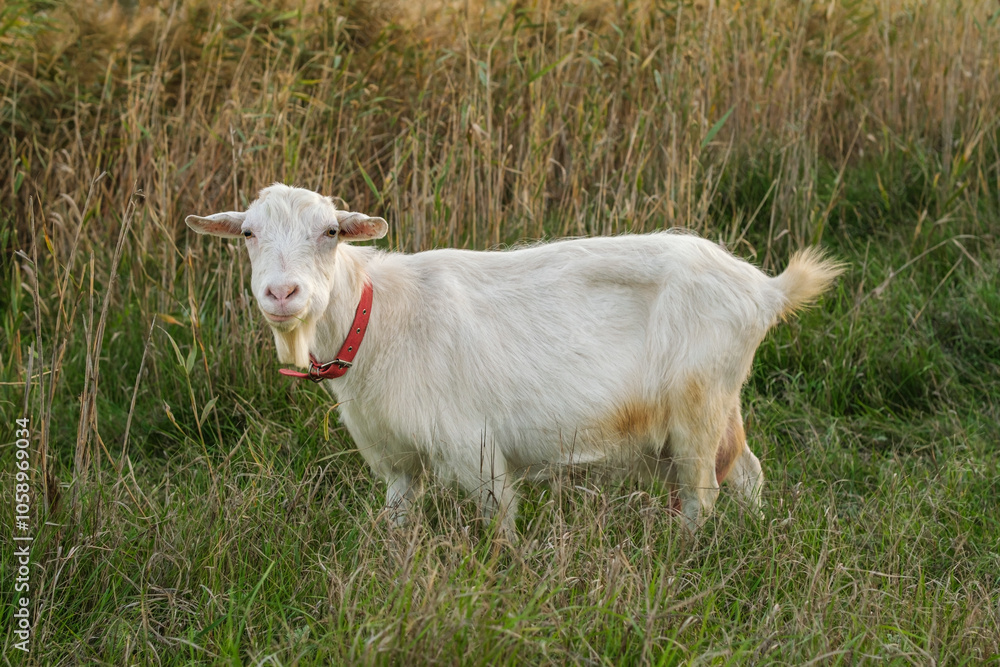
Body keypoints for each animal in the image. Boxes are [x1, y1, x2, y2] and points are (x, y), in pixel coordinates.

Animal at [187, 184, 842, 538]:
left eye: (329, 232)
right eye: (247, 233)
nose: (282, 293)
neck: (377, 317)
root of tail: (764, 290)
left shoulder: (473, 445)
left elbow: (500, 525)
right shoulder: (397, 459)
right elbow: (398, 518)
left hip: (696, 409)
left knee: (703, 493)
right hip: (719, 404)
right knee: (748, 472)